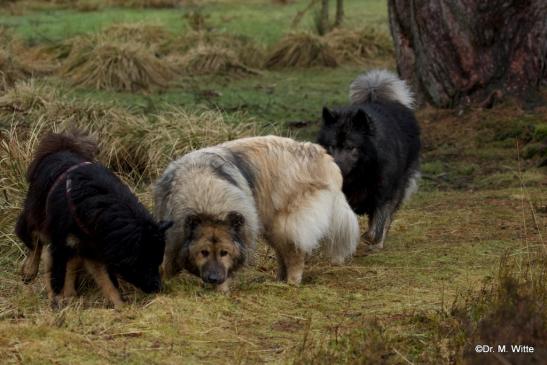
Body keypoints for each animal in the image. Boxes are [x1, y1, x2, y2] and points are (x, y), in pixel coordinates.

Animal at [16, 129, 171, 306]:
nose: (158, 288)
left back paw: (71, 294)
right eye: (145, 263)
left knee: (71, 264)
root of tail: (61, 148)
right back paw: (29, 271)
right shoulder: (60, 245)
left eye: (158, 261)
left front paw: (120, 306)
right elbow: (56, 276)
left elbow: (109, 282)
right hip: (36, 217)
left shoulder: (94, 250)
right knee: (34, 243)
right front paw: (56, 301)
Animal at [155, 134, 360, 290]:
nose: (214, 278)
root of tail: (321, 155)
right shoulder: (174, 235)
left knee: (295, 255)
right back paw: (279, 280)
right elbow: (168, 262)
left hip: (285, 224)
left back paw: (291, 284)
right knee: (283, 255)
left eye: (224, 253)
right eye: (203, 252)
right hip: (272, 226)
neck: (207, 198)